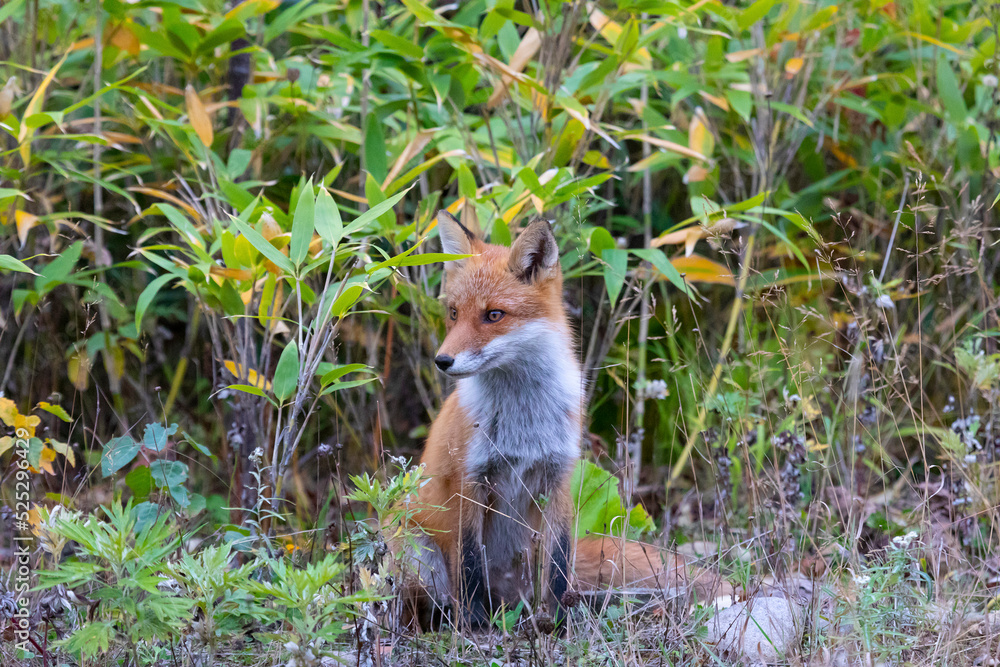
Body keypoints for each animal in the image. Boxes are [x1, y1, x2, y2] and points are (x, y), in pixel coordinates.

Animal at [394, 211, 724, 630]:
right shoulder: (468, 482)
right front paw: (474, 624)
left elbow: (558, 564)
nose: (442, 360)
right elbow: (468, 564)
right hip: (413, 546)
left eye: (493, 315)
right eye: (453, 313)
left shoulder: (558, 476)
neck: (523, 420)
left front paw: (558, 622)